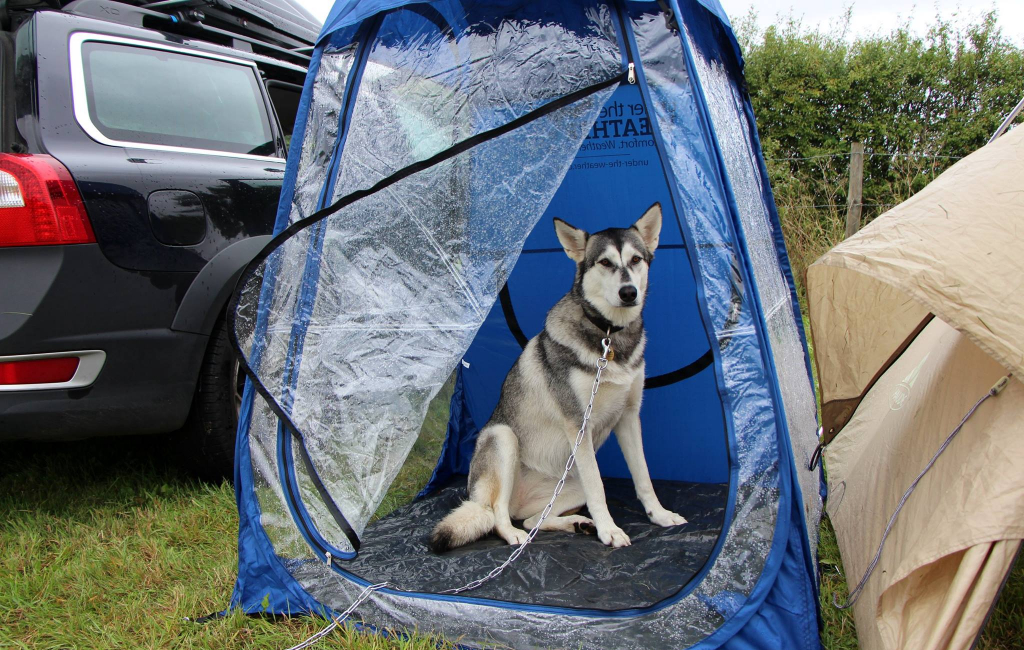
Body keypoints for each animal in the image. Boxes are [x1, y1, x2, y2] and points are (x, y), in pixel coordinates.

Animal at [428, 200, 684, 552]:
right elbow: (599, 490)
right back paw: (516, 535)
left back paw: (578, 524)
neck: (609, 338)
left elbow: (643, 477)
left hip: (569, 484)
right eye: (605, 262)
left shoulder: (629, 417)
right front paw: (609, 531)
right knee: (497, 515)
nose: (629, 292)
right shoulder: (578, 424)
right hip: (504, 439)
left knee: (533, 520)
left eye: (635, 260)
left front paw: (659, 515)